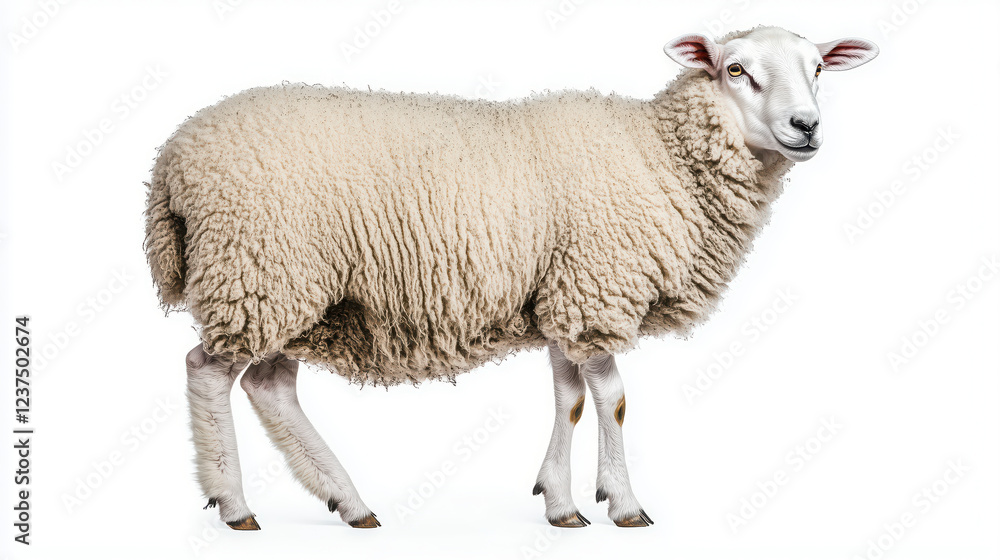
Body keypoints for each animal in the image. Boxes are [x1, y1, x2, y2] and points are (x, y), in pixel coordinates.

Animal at [144, 26, 878, 530]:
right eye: (735, 70)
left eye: (818, 67)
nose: (807, 126)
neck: (659, 156)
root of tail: (172, 158)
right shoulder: (595, 289)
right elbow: (612, 399)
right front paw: (624, 503)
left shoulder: (564, 295)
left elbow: (569, 397)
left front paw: (561, 503)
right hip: (258, 272)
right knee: (206, 372)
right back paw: (234, 502)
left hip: (294, 293)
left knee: (269, 386)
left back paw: (346, 500)